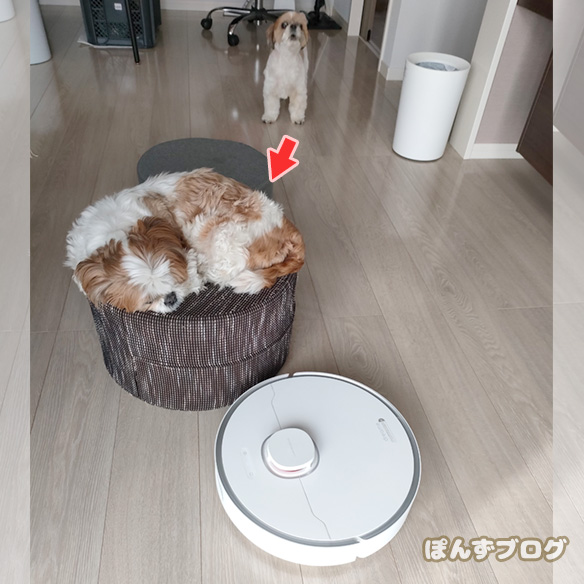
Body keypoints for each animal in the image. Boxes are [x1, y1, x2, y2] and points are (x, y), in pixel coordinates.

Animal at [66, 169, 305, 313]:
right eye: (148, 301)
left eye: (176, 282)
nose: (170, 298)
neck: (116, 228)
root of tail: (287, 227)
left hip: (212, 230)